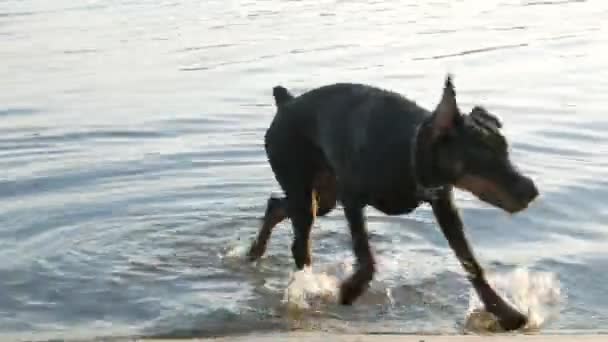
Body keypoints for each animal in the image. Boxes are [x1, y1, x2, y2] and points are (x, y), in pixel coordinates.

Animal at [247, 75, 536, 332]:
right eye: (484, 156)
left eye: (505, 149)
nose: (531, 191)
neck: (408, 151)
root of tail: (285, 102)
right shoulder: (351, 197)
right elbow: (366, 256)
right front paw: (350, 290)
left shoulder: (443, 204)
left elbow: (471, 263)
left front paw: (506, 312)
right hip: (305, 189)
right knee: (299, 243)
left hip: (324, 196)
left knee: (275, 205)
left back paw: (255, 252)